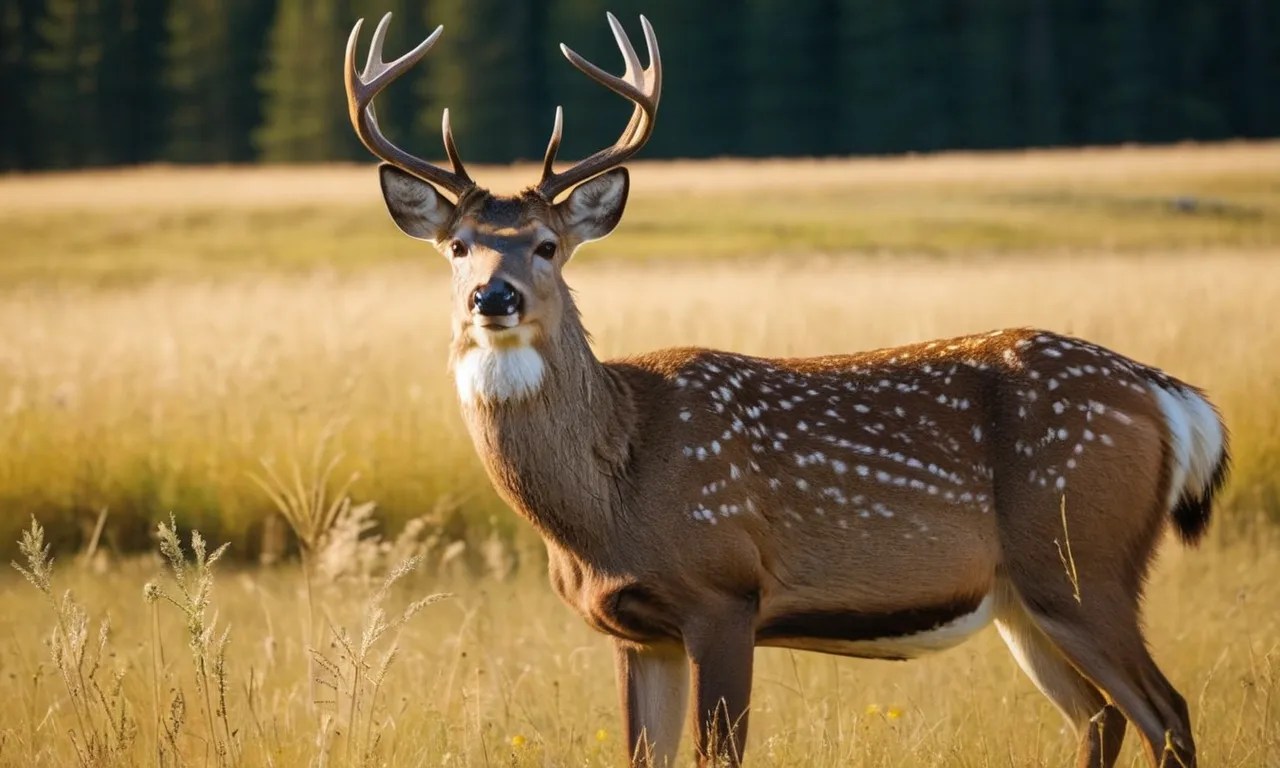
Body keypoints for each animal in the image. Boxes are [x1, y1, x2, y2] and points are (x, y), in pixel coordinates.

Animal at [345, 12, 1230, 768]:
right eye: (457, 244)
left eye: (548, 245)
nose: (492, 298)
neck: (605, 505)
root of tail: (1169, 396)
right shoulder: (635, 631)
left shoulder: (724, 591)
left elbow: (720, 753)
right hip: (1027, 595)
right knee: (1102, 716)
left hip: (1084, 558)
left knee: (1167, 713)